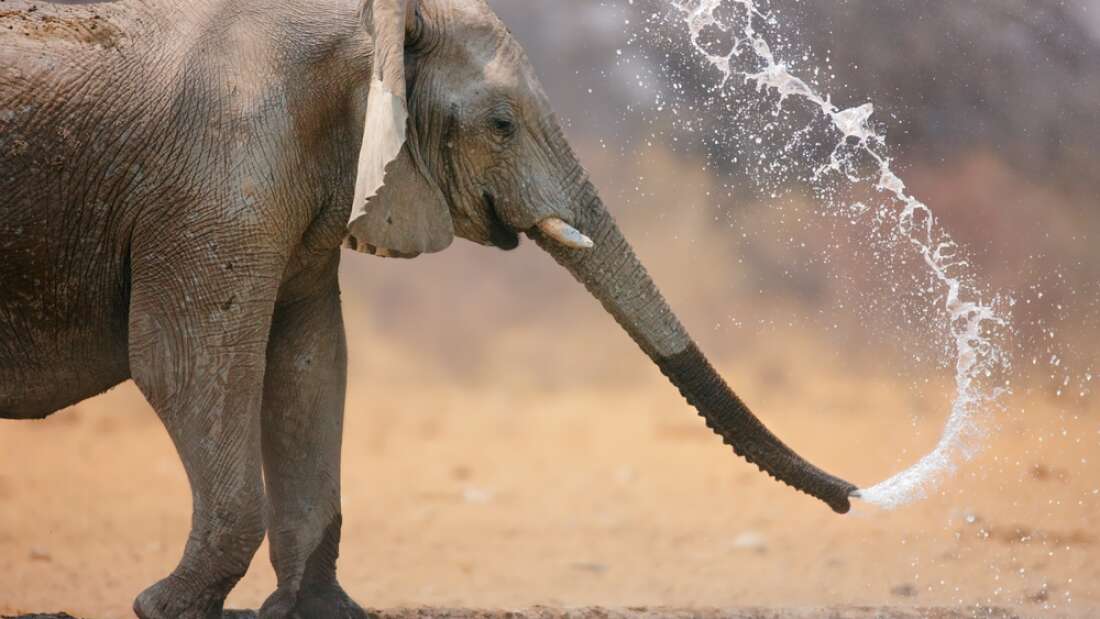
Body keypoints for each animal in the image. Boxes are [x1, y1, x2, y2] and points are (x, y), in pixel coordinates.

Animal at [0, 0, 858, 616]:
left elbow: (310, 360)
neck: (371, 21)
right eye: (502, 125)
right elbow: (186, 363)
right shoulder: (218, 174)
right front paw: (167, 607)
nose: (854, 494)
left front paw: (322, 609)